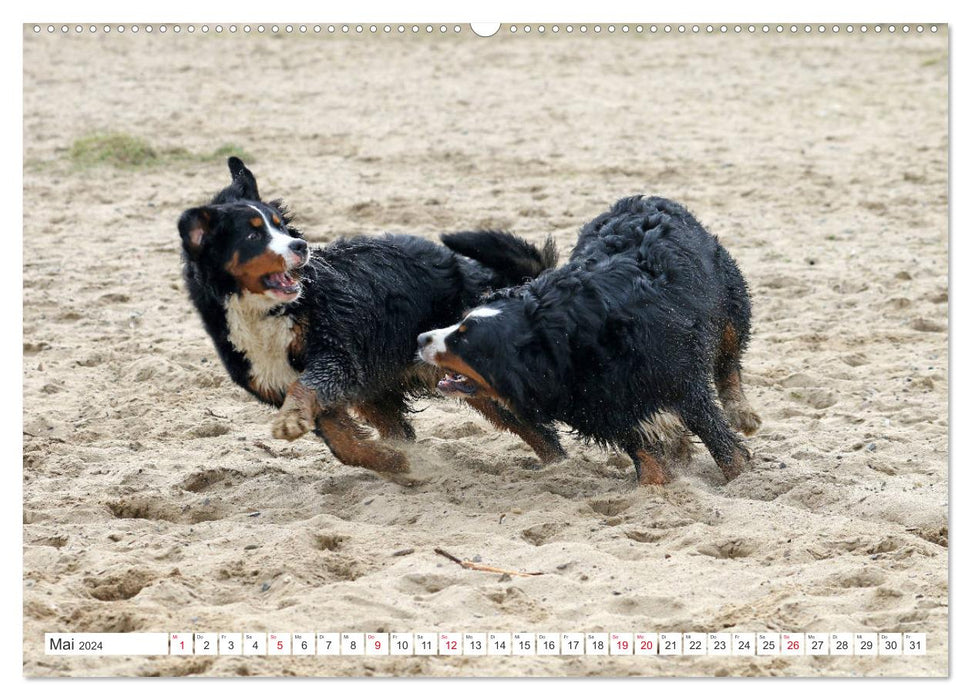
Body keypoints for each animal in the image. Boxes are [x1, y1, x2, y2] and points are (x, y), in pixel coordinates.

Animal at [178, 159, 560, 476]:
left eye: (281, 227)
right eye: (253, 233)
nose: (300, 246)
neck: (265, 313)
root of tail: (470, 270)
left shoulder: (334, 354)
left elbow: (308, 387)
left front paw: (292, 421)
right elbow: (343, 444)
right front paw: (393, 462)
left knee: (535, 427)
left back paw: (559, 469)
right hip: (377, 388)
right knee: (400, 427)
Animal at [414, 194, 764, 484]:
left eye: (463, 339)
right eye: (459, 322)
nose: (421, 338)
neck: (568, 344)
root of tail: (641, 198)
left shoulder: (679, 383)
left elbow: (719, 441)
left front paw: (742, 479)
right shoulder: (603, 400)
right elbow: (643, 451)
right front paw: (655, 489)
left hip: (729, 309)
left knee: (728, 363)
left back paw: (741, 412)